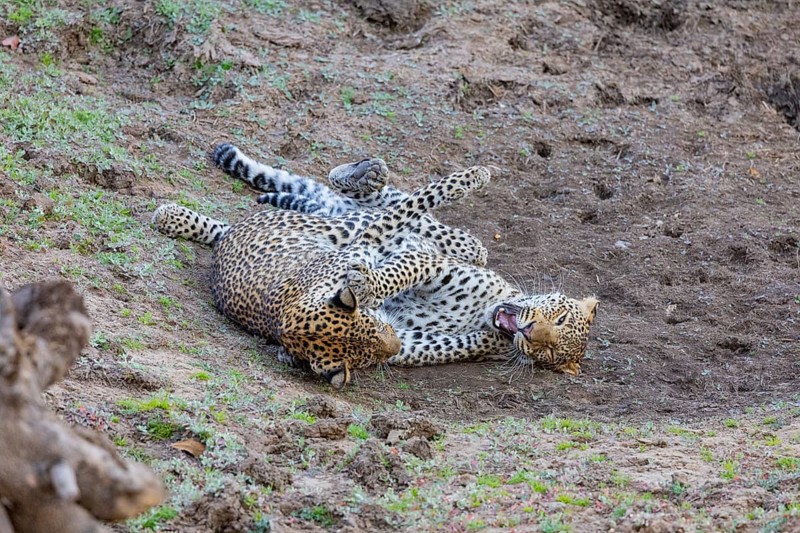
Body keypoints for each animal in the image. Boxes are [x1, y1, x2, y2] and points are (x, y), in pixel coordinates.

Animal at [153, 160, 492, 388]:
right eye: (367, 357)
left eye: (370, 324)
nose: (394, 346)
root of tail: (235, 231)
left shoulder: (364, 245)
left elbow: (417, 201)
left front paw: (470, 177)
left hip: (341, 228)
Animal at [201, 143, 600, 377]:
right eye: (560, 318)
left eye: (546, 352)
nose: (531, 332)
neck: (484, 312)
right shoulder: (433, 264)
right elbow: (401, 270)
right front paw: (367, 284)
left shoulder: (417, 339)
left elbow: (434, 346)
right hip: (354, 225)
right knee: (394, 203)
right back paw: (367, 174)